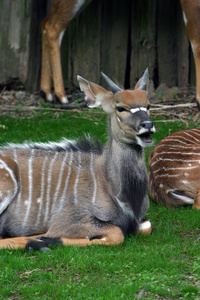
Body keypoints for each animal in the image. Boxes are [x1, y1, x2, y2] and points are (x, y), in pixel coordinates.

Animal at [0, 69, 155, 250]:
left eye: (148, 105)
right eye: (120, 108)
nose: (147, 125)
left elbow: (146, 227)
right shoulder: (67, 220)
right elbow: (116, 233)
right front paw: (44, 240)